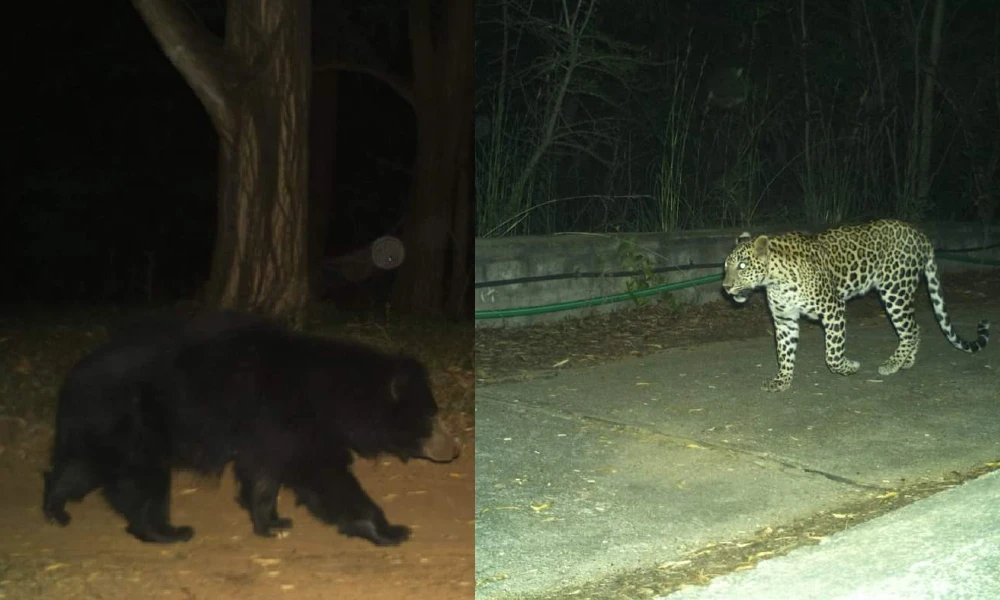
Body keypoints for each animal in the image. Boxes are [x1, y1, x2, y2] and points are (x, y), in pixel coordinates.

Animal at [43, 312, 458, 548]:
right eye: (432, 416)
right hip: (136, 427)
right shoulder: (290, 419)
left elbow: (264, 476)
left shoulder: (268, 433)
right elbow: (324, 475)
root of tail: (72, 379)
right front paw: (390, 530)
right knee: (141, 484)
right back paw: (167, 531)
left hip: (101, 431)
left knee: (78, 469)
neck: (335, 395)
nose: (454, 448)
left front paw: (272, 523)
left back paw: (55, 508)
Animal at [724, 218, 988, 392]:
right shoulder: (785, 320)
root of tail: (920, 234)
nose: (725, 287)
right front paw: (782, 381)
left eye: (743, 266)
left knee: (910, 329)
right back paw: (907, 361)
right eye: (726, 266)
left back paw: (892, 364)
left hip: (895, 290)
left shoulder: (834, 310)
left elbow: (832, 354)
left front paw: (849, 367)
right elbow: (784, 352)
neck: (775, 280)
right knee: (916, 326)